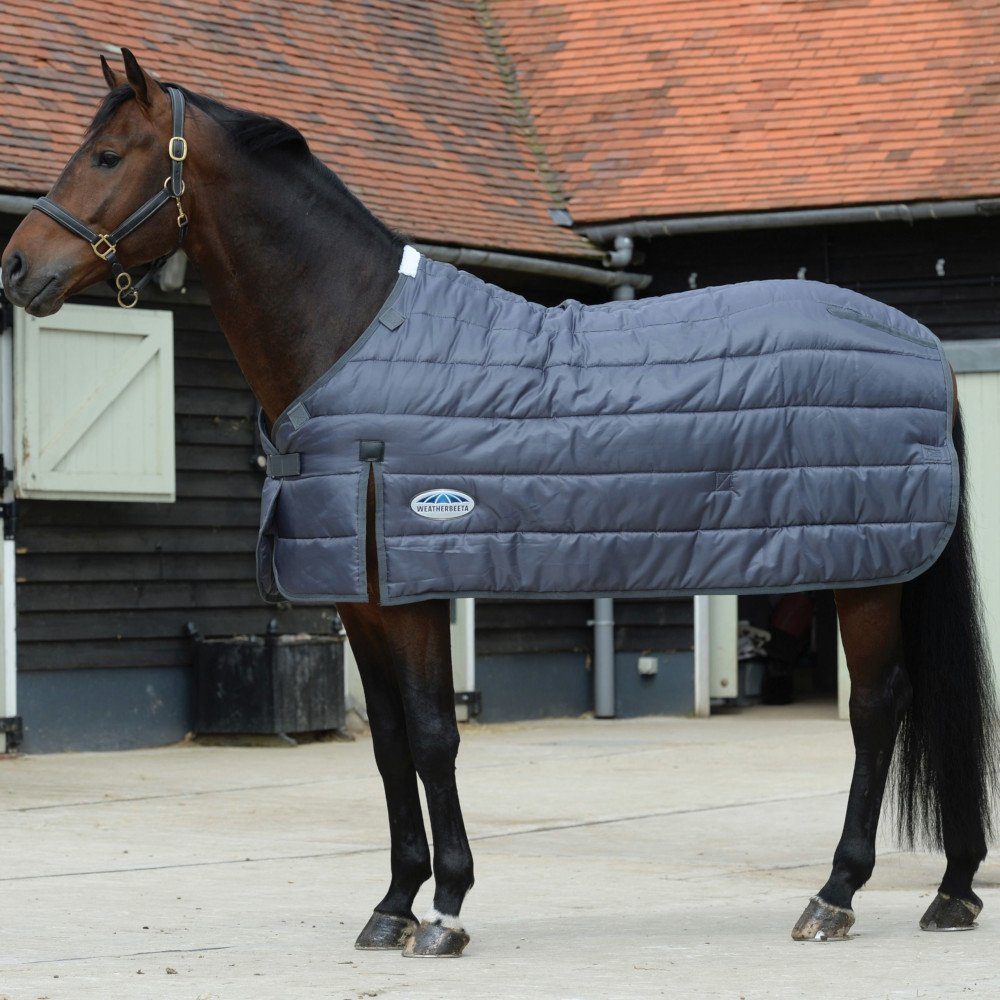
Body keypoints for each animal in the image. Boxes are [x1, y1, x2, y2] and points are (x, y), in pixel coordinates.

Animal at [2, 49, 995, 958]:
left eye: (107, 155)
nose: (16, 267)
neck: (349, 338)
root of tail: (927, 348)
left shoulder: (416, 588)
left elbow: (434, 735)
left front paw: (445, 910)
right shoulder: (365, 599)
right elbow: (389, 744)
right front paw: (392, 906)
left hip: (866, 573)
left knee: (878, 708)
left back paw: (837, 893)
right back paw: (950, 889)